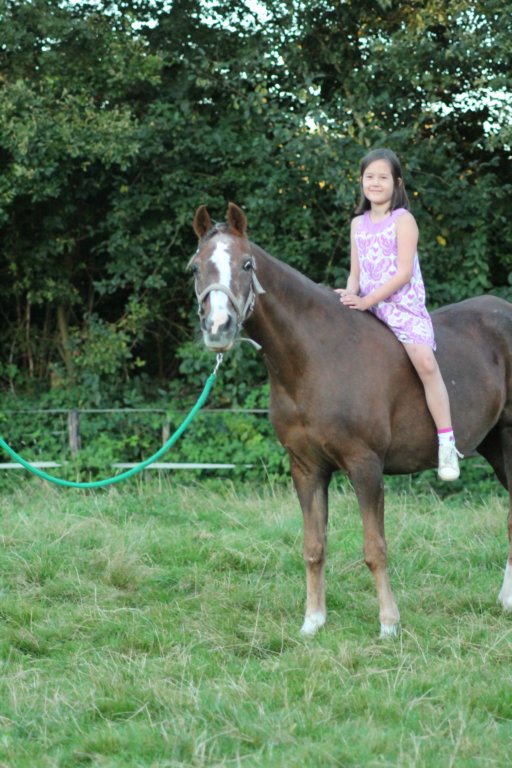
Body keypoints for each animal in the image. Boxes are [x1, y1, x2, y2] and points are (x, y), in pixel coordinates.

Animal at [189, 202, 512, 638]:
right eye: (195, 268)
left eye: (246, 264)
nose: (218, 328)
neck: (316, 357)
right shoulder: (306, 468)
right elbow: (313, 547)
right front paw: (312, 621)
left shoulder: (365, 465)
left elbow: (375, 548)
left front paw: (389, 624)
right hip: (494, 446)